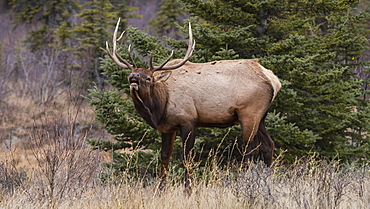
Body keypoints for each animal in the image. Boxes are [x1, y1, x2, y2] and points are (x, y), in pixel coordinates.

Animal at [105, 18, 282, 193]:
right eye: (131, 73)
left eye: (148, 78)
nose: (133, 77)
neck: (160, 106)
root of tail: (273, 80)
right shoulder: (167, 128)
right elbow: (164, 157)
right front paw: (161, 189)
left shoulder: (188, 120)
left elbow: (187, 157)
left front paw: (188, 189)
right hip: (261, 117)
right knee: (268, 145)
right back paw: (267, 183)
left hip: (249, 113)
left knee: (250, 149)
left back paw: (247, 184)